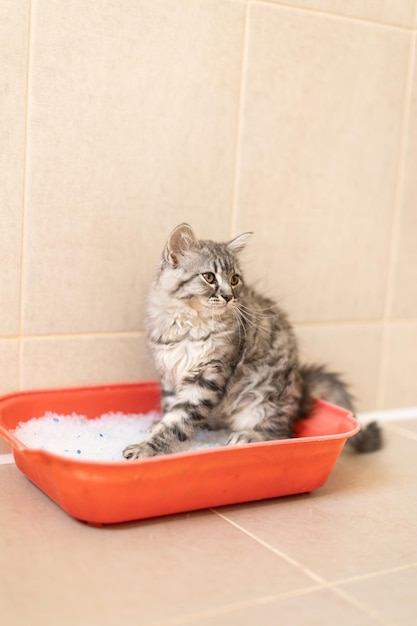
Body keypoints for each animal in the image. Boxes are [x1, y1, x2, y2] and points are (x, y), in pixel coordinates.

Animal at [122, 224, 378, 458]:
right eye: (209, 277)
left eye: (235, 279)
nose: (228, 296)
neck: (188, 324)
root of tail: (301, 389)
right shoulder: (169, 372)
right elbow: (170, 410)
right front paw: (157, 426)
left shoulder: (208, 375)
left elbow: (179, 421)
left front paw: (149, 448)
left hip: (264, 401)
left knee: (283, 433)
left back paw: (247, 436)